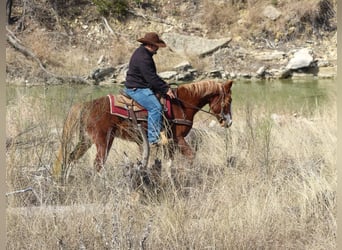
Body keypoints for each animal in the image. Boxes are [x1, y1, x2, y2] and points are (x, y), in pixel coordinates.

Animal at [52, 79, 234, 180]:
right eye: (229, 100)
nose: (229, 122)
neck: (181, 104)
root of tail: (85, 105)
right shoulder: (178, 139)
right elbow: (191, 156)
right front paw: (190, 174)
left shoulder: (169, 143)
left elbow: (168, 163)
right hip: (103, 141)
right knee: (98, 164)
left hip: (87, 140)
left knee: (72, 157)